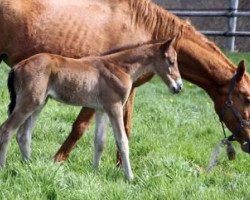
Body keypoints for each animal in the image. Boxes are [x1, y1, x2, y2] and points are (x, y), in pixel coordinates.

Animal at [0, 0, 250, 164]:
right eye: (247, 98)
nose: (249, 142)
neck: (143, 27)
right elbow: (79, 128)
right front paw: (58, 161)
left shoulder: (128, 92)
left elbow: (125, 129)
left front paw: (121, 167)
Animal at [0, 37, 182, 180]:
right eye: (171, 61)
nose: (178, 87)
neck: (119, 67)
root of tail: (18, 66)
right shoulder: (114, 107)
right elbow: (122, 141)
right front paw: (130, 177)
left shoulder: (101, 110)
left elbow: (99, 141)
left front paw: (95, 172)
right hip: (28, 102)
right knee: (6, 130)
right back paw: (3, 167)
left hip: (39, 104)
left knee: (23, 134)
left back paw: (29, 166)